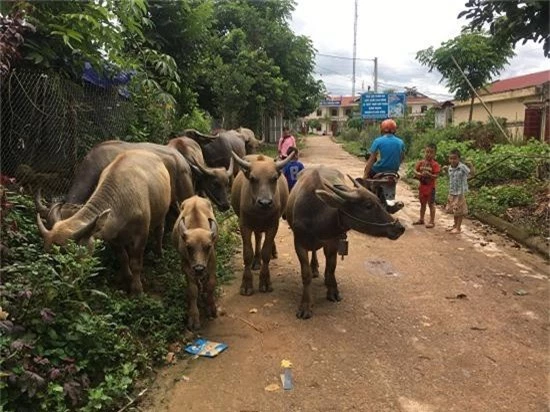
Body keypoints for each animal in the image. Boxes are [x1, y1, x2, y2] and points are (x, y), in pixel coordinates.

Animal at [36, 150, 171, 294]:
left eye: (69, 255)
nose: (60, 286)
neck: (121, 202)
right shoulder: (112, 236)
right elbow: (123, 258)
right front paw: (127, 277)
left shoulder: (141, 234)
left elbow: (136, 263)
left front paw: (137, 288)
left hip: (162, 212)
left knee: (159, 230)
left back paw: (159, 253)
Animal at [172, 195, 220, 330]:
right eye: (189, 247)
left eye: (208, 246)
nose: (199, 268)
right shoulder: (186, 266)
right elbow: (192, 291)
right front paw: (193, 317)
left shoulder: (212, 262)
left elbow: (211, 284)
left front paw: (211, 308)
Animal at [231, 153, 296, 294]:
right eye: (252, 178)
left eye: (274, 178)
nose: (265, 202)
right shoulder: (244, 225)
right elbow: (247, 254)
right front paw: (246, 284)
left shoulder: (273, 225)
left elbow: (266, 252)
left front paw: (265, 282)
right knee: (258, 237)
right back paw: (256, 260)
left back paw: (272, 252)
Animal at [286, 166, 408, 320]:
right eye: (368, 205)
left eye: (378, 200)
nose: (399, 228)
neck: (316, 215)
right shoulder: (299, 243)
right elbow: (306, 274)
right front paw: (306, 305)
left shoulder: (332, 241)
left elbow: (331, 267)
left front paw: (333, 290)